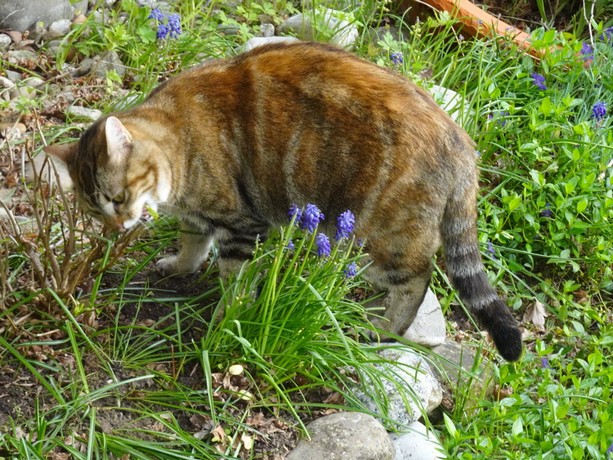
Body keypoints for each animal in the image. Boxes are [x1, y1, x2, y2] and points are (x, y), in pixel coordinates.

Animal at [46, 41, 522, 361]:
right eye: (95, 211)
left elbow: (234, 279)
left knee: (418, 279)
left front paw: (228, 316)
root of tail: (460, 141)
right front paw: (180, 266)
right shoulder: (199, 218)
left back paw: (382, 328)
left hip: (372, 235)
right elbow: (192, 244)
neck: (177, 139)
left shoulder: (240, 225)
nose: (117, 228)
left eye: (117, 197)